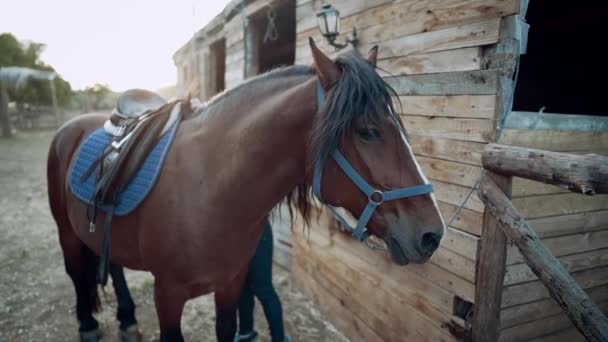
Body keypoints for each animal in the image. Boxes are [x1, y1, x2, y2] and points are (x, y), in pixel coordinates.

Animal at [46, 38, 442, 340]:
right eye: (368, 131)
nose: (432, 235)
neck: (211, 190)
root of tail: (72, 127)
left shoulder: (230, 286)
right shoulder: (168, 294)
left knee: (113, 267)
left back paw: (127, 319)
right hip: (66, 231)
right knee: (75, 273)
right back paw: (88, 325)